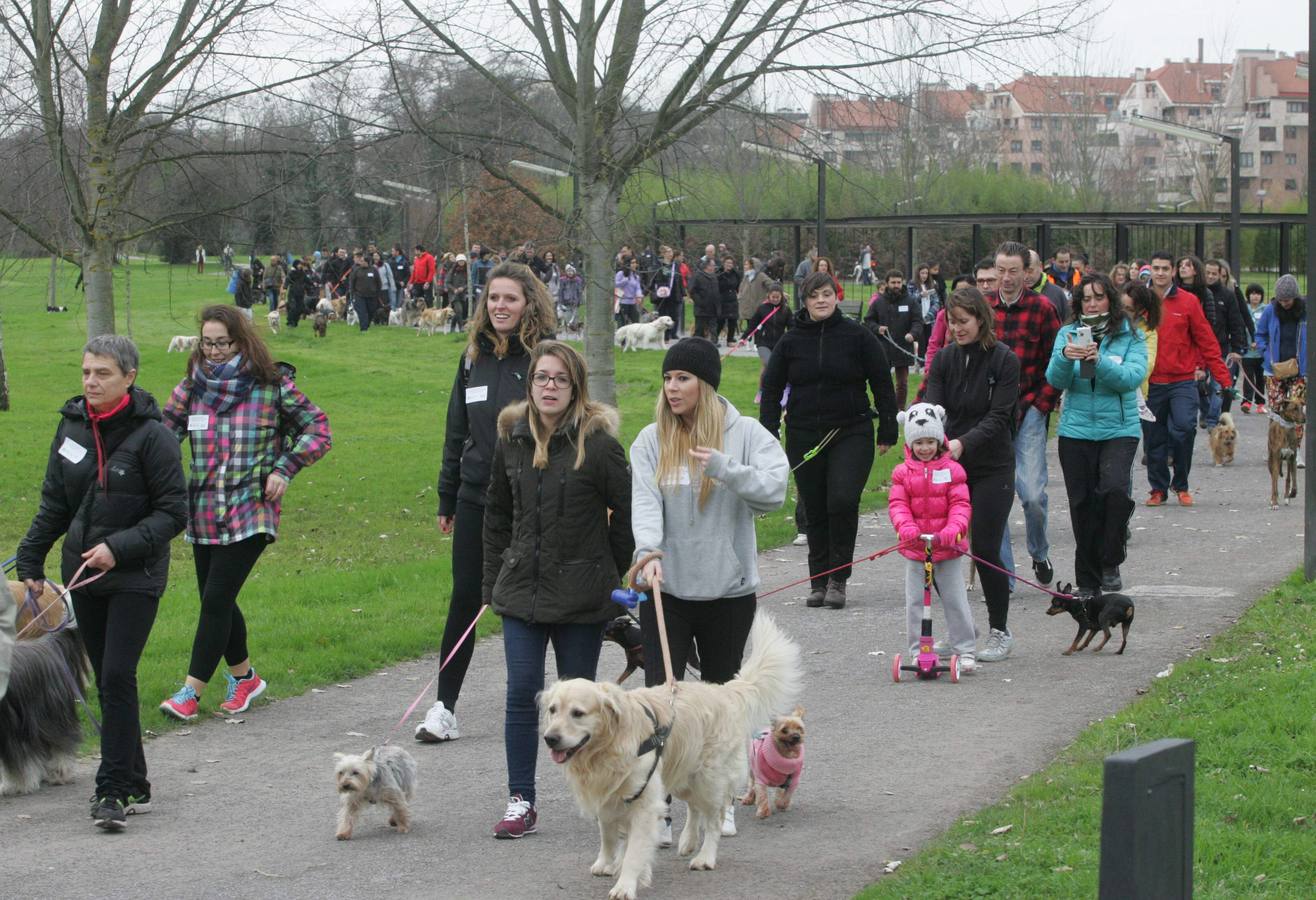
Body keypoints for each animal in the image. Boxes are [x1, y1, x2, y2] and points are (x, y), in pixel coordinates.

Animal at [0, 626, 88, 794]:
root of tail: (49, 646)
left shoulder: (10, 728)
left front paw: (20, 784)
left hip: (50, 717)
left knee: (60, 743)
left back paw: (59, 772)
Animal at [536, 610, 800, 900]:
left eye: (578, 713)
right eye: (553, 710)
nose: (550, 738)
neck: (606, 748)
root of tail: (722, 689)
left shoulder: (643, 801)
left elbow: (634, 850)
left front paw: (625, 884)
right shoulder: (608, 795)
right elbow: (607, 833)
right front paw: (606, 863)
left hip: (708, 778)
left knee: (715, 817)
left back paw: (705, 857)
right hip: (682, 774)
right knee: (695, 807)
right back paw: (688, 841)